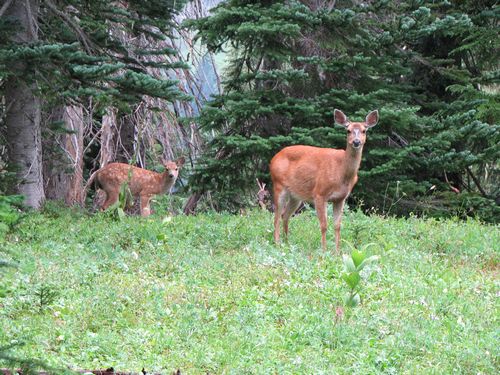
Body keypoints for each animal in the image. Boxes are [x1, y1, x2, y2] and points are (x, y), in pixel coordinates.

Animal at [272, 110, 376, 254]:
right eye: (348, 130)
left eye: (364, 130)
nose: (356, 142)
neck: (342, 171)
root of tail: (274, 158)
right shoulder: (319, 193)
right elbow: (324, 225)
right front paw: (324, 251)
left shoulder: (340, 198)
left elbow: (338, 225)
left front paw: (337, 252)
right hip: (278, 185)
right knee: (276, 216)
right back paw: (277, 243)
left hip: (296, 196)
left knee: (285, 215)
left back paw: (287, 243)